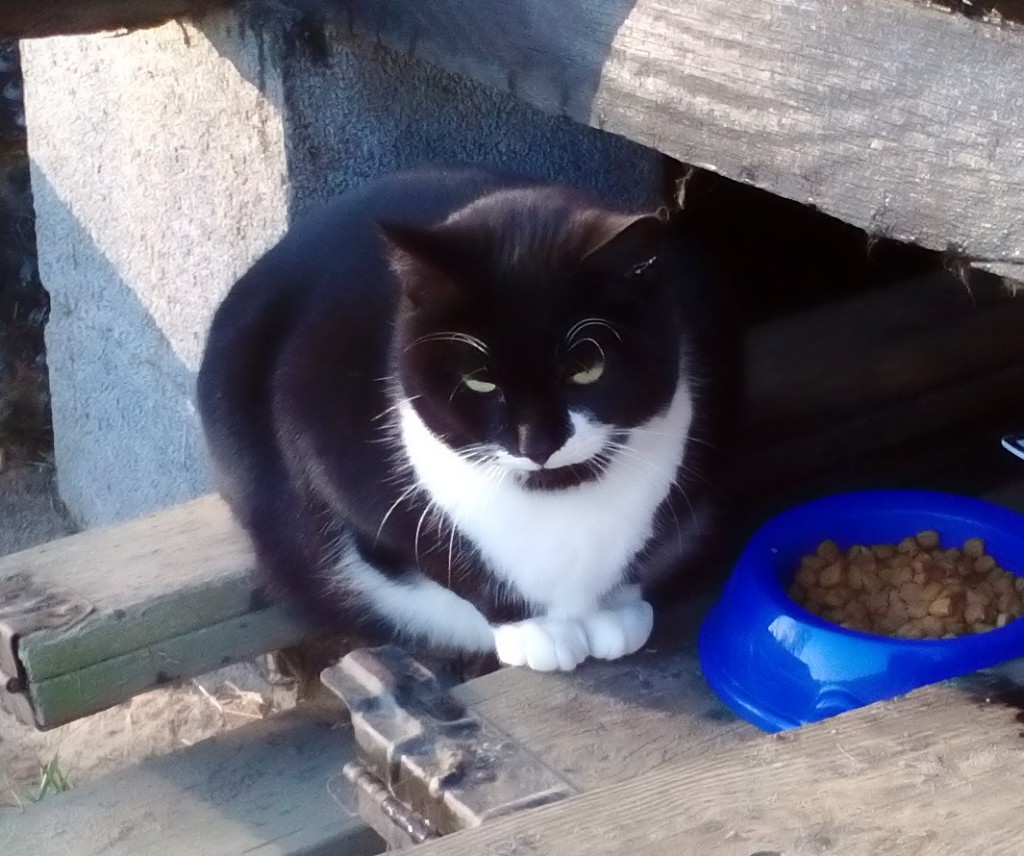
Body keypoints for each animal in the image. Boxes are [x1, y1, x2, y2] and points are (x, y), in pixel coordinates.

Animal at [193, 166, 737, 671]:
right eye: (479, 382)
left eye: (587, 367)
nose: (537, 444)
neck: (556, 493)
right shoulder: (321, 434)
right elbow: (438, 556)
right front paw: (534, 630)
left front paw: (616, 610)